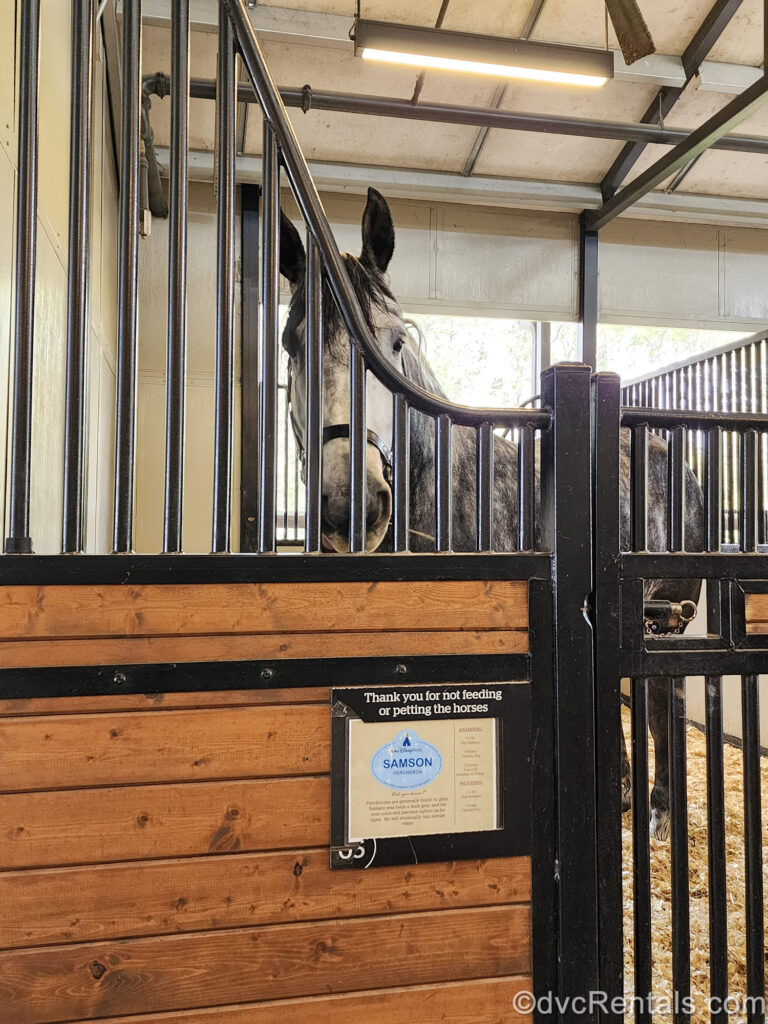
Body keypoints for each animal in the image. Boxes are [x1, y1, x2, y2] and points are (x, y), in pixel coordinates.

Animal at [279, 187, 705, 840]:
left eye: (394, 344)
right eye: (290, 344)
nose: (348, 501)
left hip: (671, 620)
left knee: (661, 700)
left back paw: (658, 808)